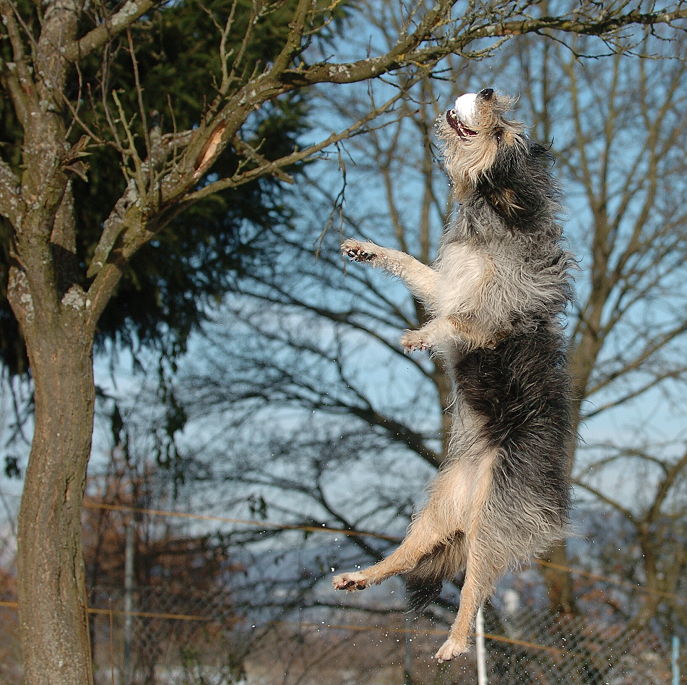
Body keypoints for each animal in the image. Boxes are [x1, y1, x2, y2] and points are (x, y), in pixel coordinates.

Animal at [334, 88, 576, 660]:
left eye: (503, 132)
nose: (484, 91)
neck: (497, 223)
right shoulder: (444, 283)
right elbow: (409, 265)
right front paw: (366, 249)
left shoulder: (491, 317)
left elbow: (459, 320)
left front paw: (420, 337)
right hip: (439, 509)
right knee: (406, 556)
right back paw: (362, 576)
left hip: (495, 524)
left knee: (473, 590)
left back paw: (456, 643)